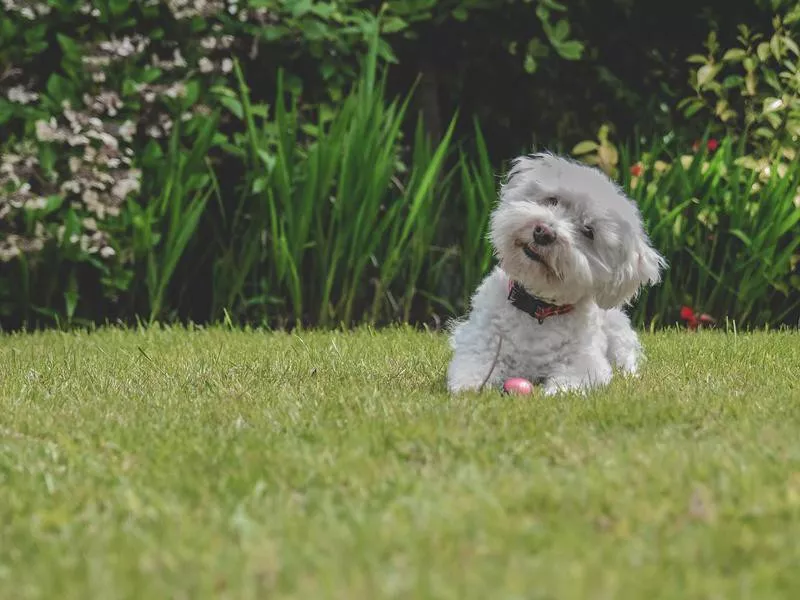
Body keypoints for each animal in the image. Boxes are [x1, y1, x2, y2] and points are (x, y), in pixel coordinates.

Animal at [446, 152, 664, 396]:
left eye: (588, 232)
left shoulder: (584, 362)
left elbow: (572, 381)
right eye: (552, 200)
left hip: (618, 333)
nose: (544, 232)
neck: (538, 308)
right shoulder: (480, 342)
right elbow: (474, 367)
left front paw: (555, 393)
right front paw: (468, 388)